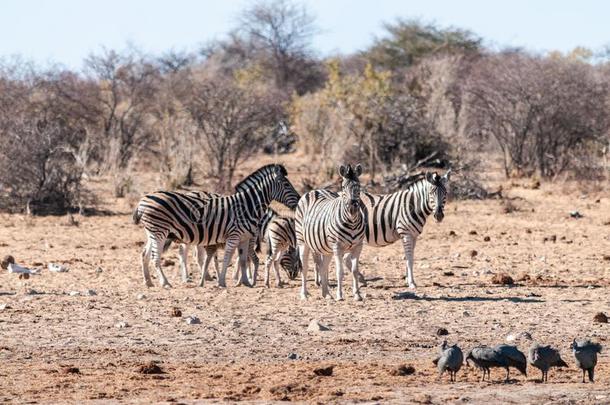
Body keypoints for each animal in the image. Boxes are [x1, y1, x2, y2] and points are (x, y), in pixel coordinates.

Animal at [132, 164, 298, 288]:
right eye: (286, 184)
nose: (298, 200)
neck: (248, 207)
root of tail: (143, 200)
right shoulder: (235, 235)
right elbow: (229, 258)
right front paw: (223, 281)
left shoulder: (244, 238)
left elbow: (243, 259)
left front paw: (245, 281)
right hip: (159, 232)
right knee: (156, 256)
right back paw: (165, 282)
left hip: (152, 232)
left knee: (145, 254)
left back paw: (148, 282)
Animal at [296, 163, 366, 300]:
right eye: (343, 187)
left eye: (358, 186)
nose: (352, 206)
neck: (352, 222)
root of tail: (315, 190)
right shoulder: (338, 247)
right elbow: (340, 272)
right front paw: (340, 295)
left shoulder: (358, 247)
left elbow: (354, 270)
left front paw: (357, 295)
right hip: (302, 241)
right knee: (305, 267)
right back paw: (304, 294)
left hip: (326, 248)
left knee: (323, 267)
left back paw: (326, 294)